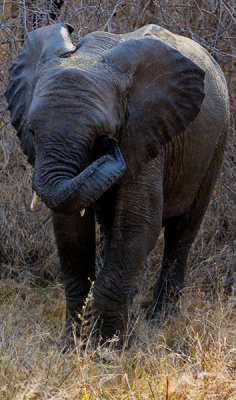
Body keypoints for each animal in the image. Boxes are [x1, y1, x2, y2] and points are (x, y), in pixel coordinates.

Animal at [6, 23, 230, 346]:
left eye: (100, 135)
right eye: (32, 131)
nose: (109, 145)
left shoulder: (147, 133)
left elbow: (139, 225)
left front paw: (106, 347)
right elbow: (70, 232)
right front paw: (73, 345)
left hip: (216, 142)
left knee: (182, 232)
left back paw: (160, 320)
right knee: (115, 232)